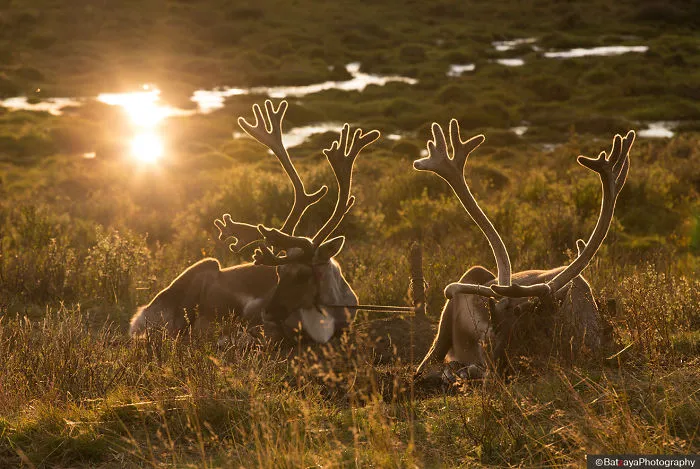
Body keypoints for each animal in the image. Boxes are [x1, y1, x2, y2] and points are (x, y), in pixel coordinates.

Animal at [129, 100, 380, 343]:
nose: (267, 312)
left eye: (303, 275)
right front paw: (234, 337)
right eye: (279, 273)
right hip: (201, 274)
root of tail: (141, 314)